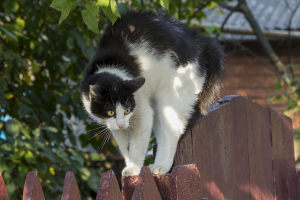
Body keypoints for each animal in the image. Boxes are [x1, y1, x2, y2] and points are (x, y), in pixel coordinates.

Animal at [80, 10, 225, 176]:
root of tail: (202, 43)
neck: (112, 66)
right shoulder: (114, 126)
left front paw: (134, 168)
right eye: (110, 112)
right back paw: (156, 165)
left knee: (173, 133)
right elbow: (124, 147)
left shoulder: (142, 113)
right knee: (162, 137)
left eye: (127, 110)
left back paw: (163, 166)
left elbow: (137, 145)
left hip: (171, 99)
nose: (122, 124)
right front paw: (130, 165)